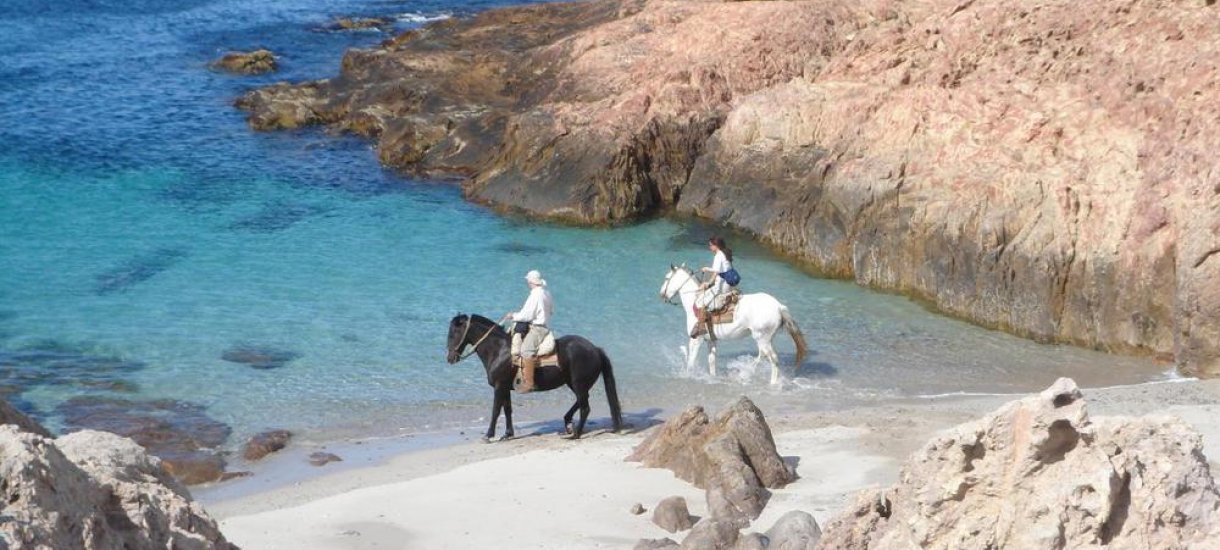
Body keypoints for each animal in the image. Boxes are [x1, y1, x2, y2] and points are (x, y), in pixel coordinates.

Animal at [446, 312, 619, 441]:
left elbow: (496, 410)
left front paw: (488, 435)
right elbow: (507, 410)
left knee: (585, 407)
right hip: (574, 383)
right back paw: (568, 423)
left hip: (578, 384)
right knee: (582, 401)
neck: (499, 350)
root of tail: (595, 349)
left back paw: (575, 434)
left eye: (454, 333)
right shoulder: (505, 388)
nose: (450, 358)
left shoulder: (499, 386)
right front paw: (508, 434)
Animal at [663, 264, 805, 385]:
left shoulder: (696, 339)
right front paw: (713, 377)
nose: (661, 294)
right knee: (763, 355)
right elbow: (712, 361)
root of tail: (779, 307)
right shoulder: (711, 340)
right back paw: (748, 371)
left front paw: (688, 376)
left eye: (666, 278)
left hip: (762, 338)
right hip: (765, 339)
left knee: (773, 359)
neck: (694, 302)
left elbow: (691, 361)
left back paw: (770, 382)